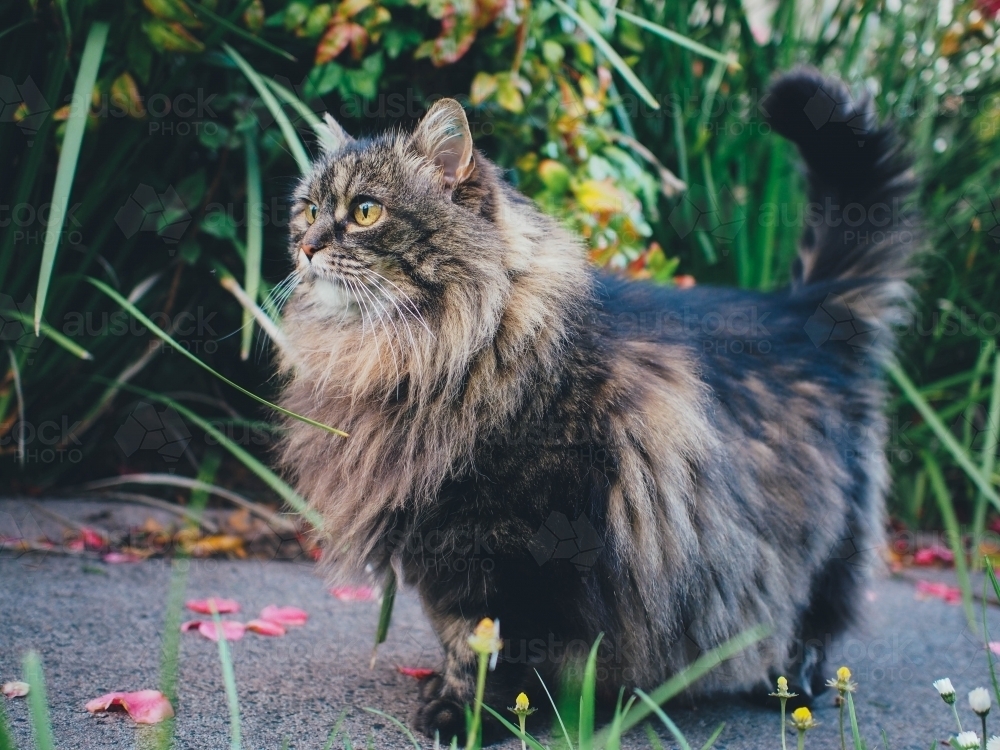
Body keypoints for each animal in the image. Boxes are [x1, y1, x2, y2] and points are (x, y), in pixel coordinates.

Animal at [278, 67, 916, 744]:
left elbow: (492, 644)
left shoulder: (518, 541)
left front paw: (471, 715)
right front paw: (458, 699)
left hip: (824, 544)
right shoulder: (444, 545)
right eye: (309, 209)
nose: (307, 247)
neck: (425, 354)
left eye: (365, 212)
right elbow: (458, 635)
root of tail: (800, 310)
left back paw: (794, 684)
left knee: (817, 619)